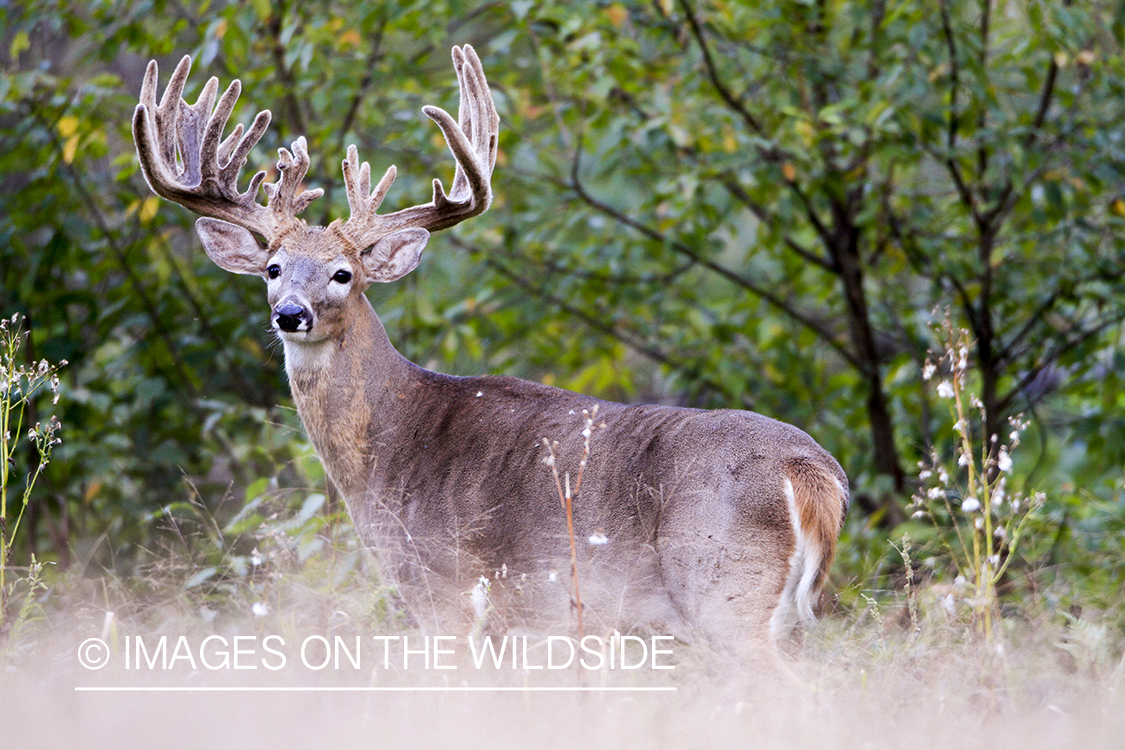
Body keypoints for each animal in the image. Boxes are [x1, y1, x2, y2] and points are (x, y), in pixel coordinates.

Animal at [131, 44, 846, 679]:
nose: (290, 314)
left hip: (723, 592)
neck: (388, 448)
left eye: (343, 274)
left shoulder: (441, 588)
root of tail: (812, 473)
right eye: (273, 268)